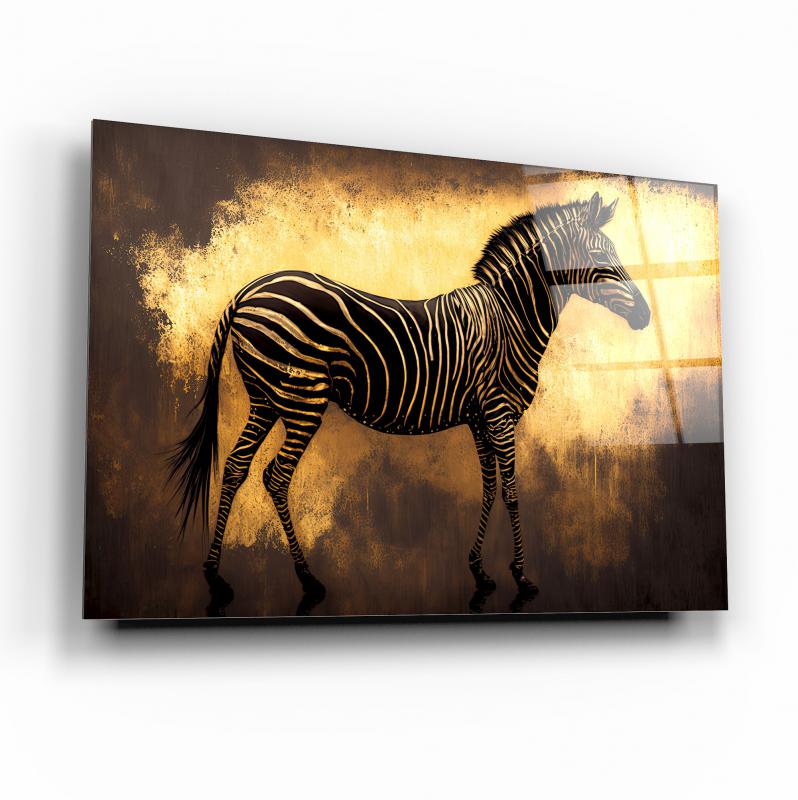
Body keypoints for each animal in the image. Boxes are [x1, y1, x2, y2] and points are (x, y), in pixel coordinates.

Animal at [168, 191, 651, 603]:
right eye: (600, 259)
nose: (646, 316)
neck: (510, 319)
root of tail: (247, 291)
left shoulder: (480, 417)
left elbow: (489, 487)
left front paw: (479, 570)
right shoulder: (499, 412)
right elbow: (513, 490)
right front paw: (522, 576)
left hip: (266, 400)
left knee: (236, 466)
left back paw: (215, 576)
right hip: (302, 400)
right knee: (276, 476)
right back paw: (307, 578)